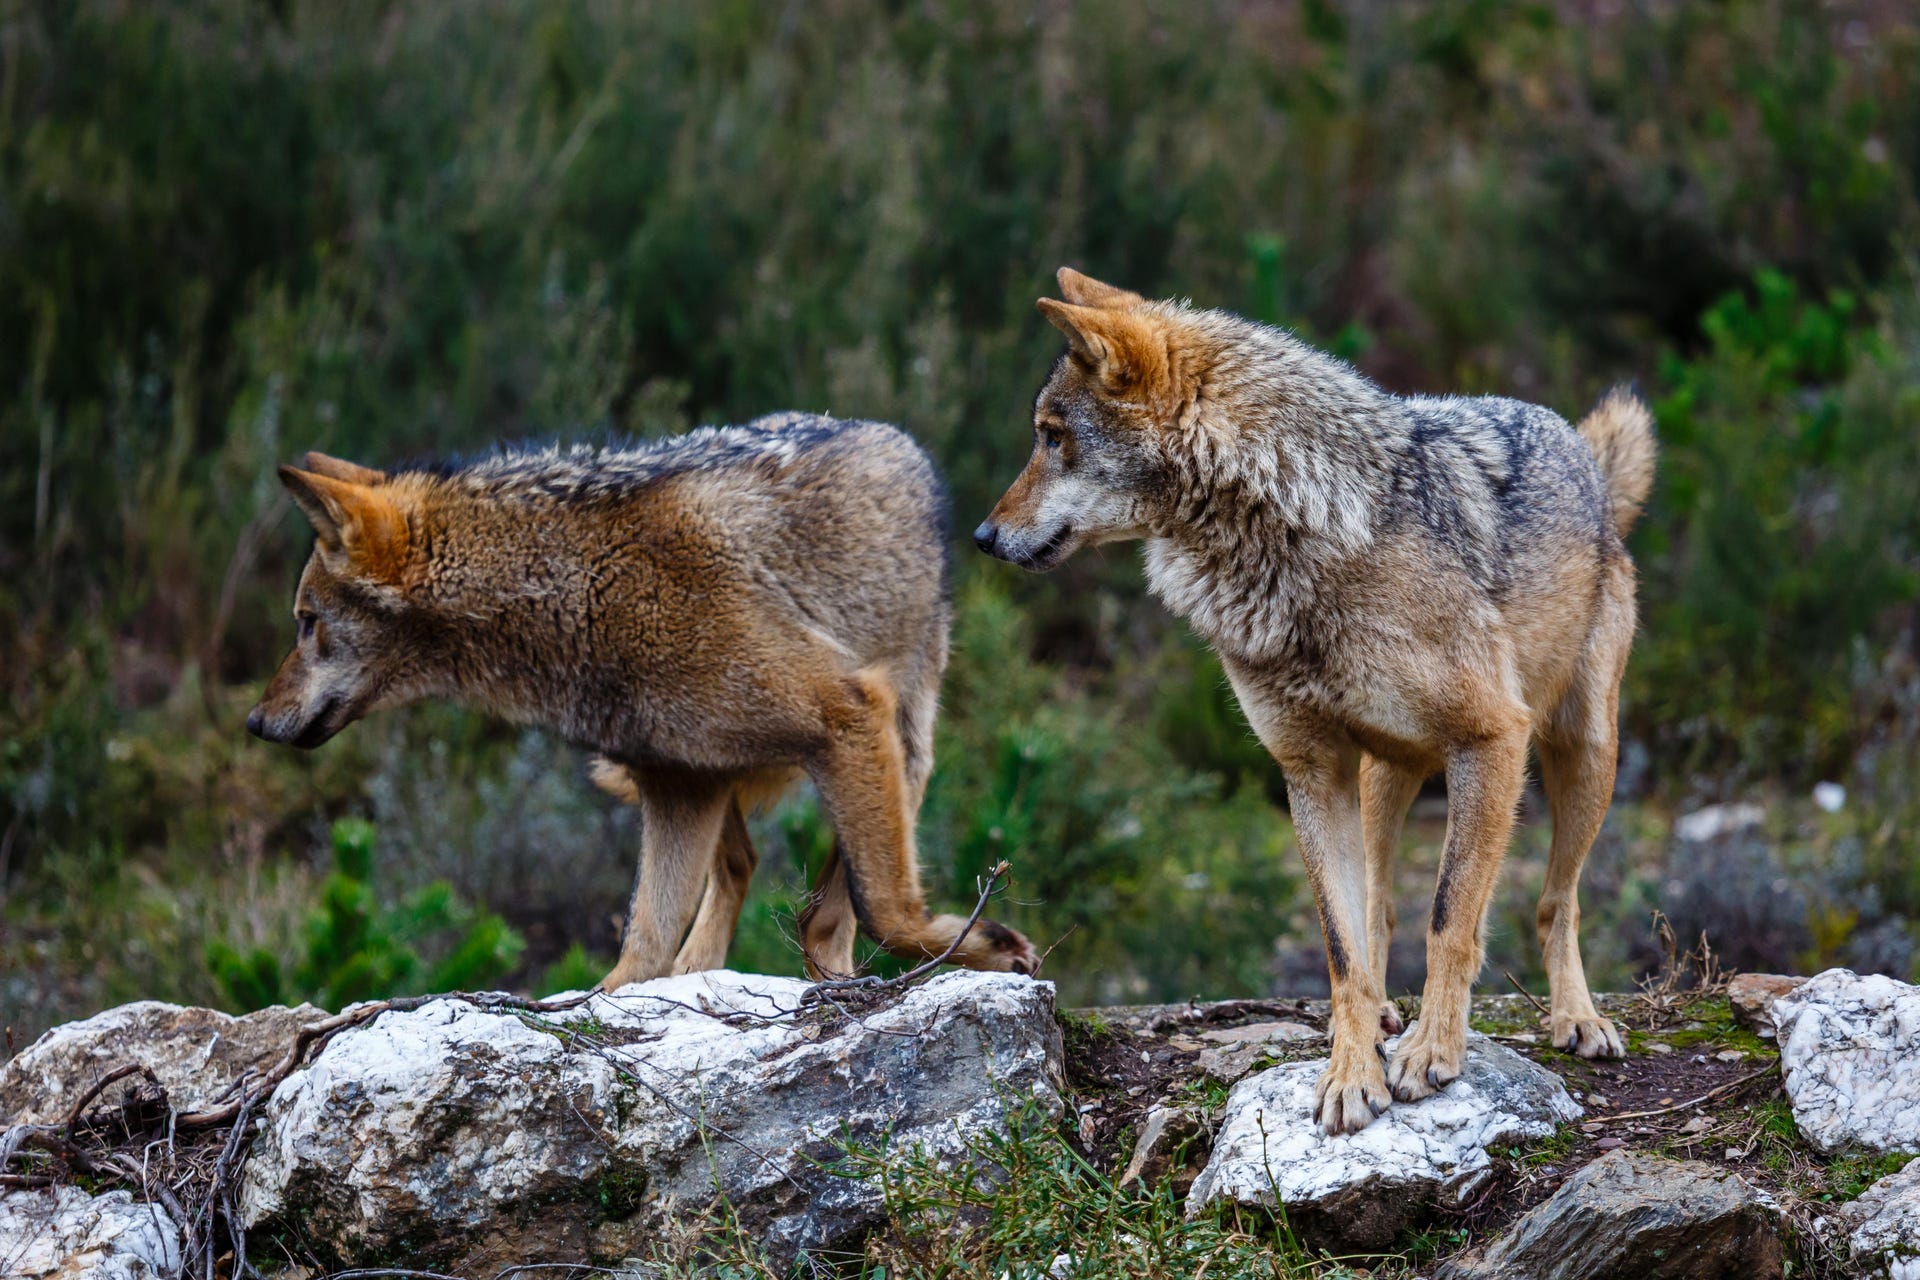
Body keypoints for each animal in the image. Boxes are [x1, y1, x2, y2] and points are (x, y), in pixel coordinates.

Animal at [253, 418, 1044, 990]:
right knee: (743, 864)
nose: (256, 722)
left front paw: (987, 945)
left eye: (306, 623)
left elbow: (885, 909)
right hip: (707, 773)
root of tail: (896, 439)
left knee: (837, 894)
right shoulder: (676, 780)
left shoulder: (844, 714)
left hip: (899, 739)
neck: (583, 590)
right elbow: (641, 946)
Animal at [983, 268, 1658, 1128]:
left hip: (1583, 756)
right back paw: (1381, 1020)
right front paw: (1349, 1073)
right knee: (1379, 911)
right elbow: (1342, 948)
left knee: (1554, 900)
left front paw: (1433, 1053)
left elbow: (1451, 917)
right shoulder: (1311, 772)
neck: (1300, 527)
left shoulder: (1491, 740)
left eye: (1051, 436)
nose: (980, 536)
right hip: (1384, 782)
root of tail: (1581, 450)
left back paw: (1576, 1017)